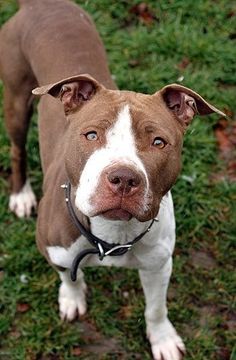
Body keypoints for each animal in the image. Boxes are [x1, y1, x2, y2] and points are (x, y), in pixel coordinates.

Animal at [0, 0, 225, 360]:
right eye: (91, 134)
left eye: (159, 142)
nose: (123, 178)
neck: (113, 234)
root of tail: (43, 4)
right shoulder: (56, 253)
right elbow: (70, 278)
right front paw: (72, 298)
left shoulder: (159, 265)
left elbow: (156, 308)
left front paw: (162, 339)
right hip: (17, 98)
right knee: (17, 149)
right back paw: (21, 195)